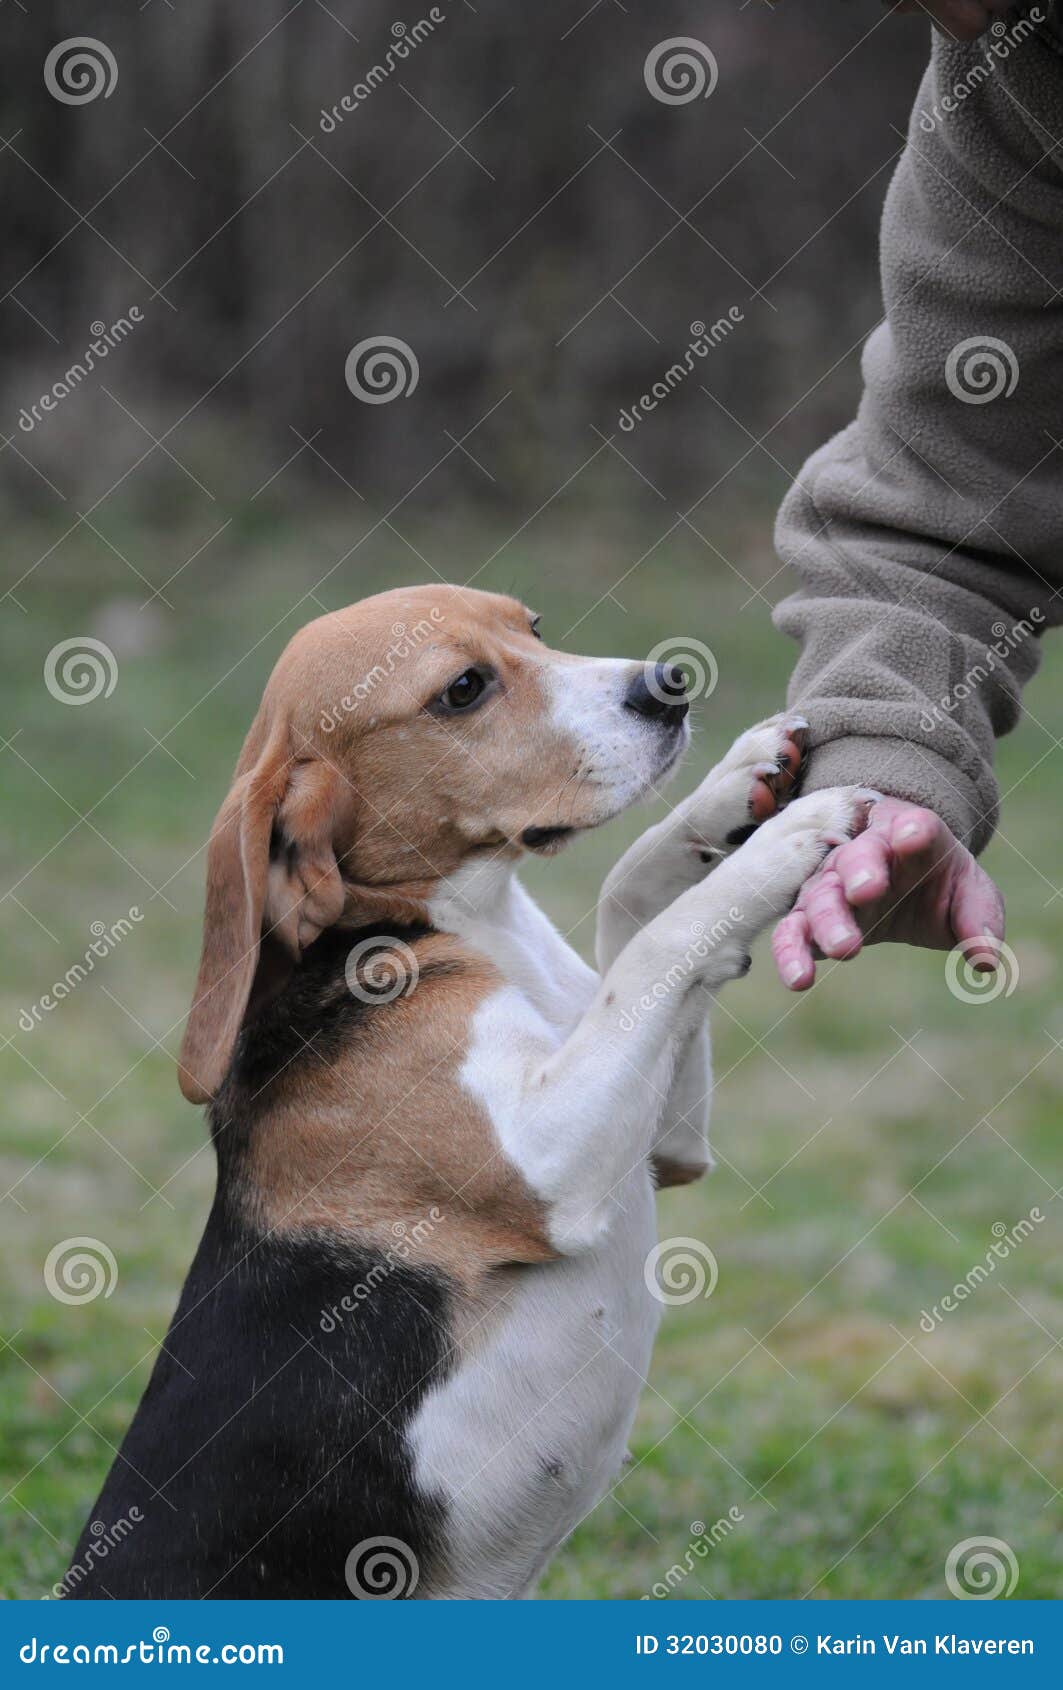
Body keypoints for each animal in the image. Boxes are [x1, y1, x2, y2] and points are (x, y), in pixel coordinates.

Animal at [62, 584, 865, 1595]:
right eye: (463, 690)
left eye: (532, 628)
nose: (666, 684)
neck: (456, 923)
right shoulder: (550, 1158)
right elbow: (661, 942)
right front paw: (786, 842)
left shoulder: (664, 1137)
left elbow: (631, 899)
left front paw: (734, 791)